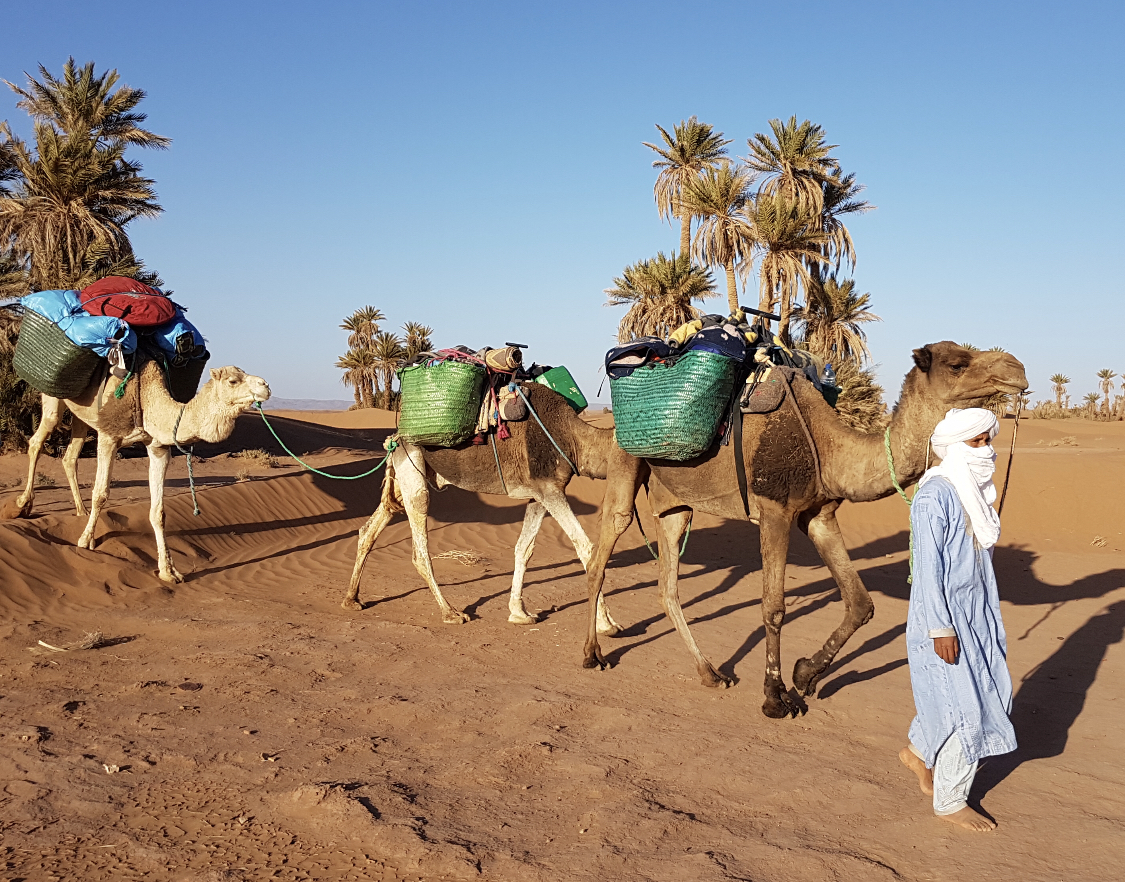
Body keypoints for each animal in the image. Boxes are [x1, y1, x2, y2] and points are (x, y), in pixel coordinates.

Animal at [2, 360, 271, 583]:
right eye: (233, 381)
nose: (266, 386)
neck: (149, 399)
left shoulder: (157, 447)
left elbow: (158, 511)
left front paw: (168, 571)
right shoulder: (109, 436)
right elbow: (101, 494)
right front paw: (86, 540)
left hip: (82, 416)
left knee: (70, 457)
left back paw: (80, 510)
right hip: (53, 398)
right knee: (38, 440)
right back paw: (22, 503)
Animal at [344, 382, 646, 632]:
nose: (625, 514)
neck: (573, 440)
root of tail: (395, 437)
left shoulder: (539, 494)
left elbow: (524, 548)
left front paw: (519, 613)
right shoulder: (551, 489)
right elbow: (585, 547)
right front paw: (607, 624)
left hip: (403, 476)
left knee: (371, 526)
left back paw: (352, 599)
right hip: (413, 467)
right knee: (419, 542)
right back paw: (450, 613)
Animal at [583, 342, 1028, 718]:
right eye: (957, 363)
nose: (1017, 368)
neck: (829, 447)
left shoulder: (818, 515)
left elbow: (860, 603)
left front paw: (805, 675)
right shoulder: (774, 511)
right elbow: (773, 607)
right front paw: (774, 696)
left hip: (675, 502)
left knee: (668, 585)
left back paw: (710, 672)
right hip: (625, 461)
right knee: (605, 549)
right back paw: (593, 653)